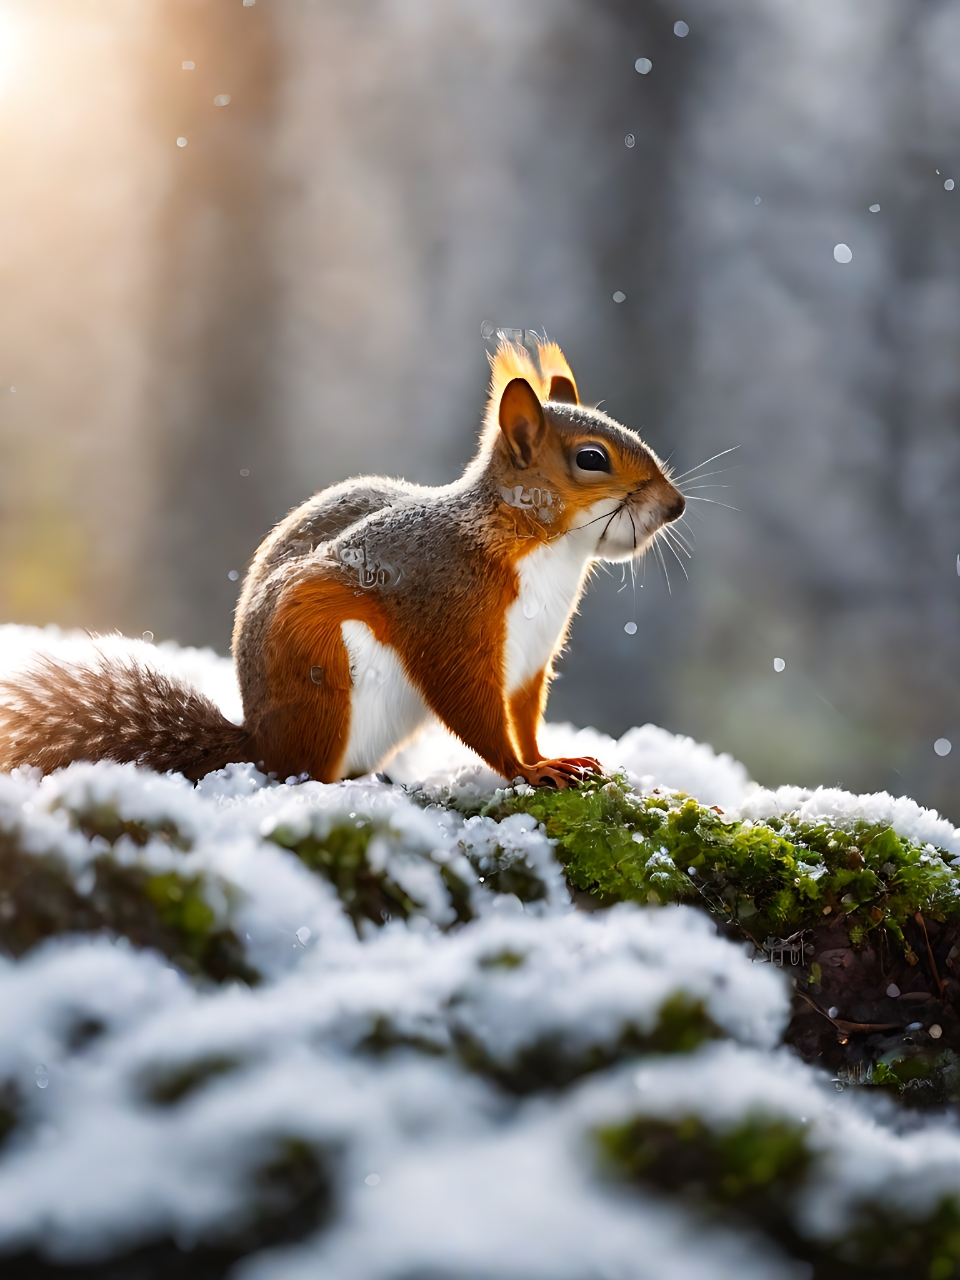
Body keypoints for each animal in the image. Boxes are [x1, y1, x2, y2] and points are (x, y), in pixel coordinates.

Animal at [0, 345, 686, 793]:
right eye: (592, 458)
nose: (676, 505)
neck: (547, 553)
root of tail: (258, 745)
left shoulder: (530, 658)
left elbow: (523, 715)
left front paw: (551, 757)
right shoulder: (450, 612)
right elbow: (473, 708)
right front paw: (526, 770)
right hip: (325, 674)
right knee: (305, 773)